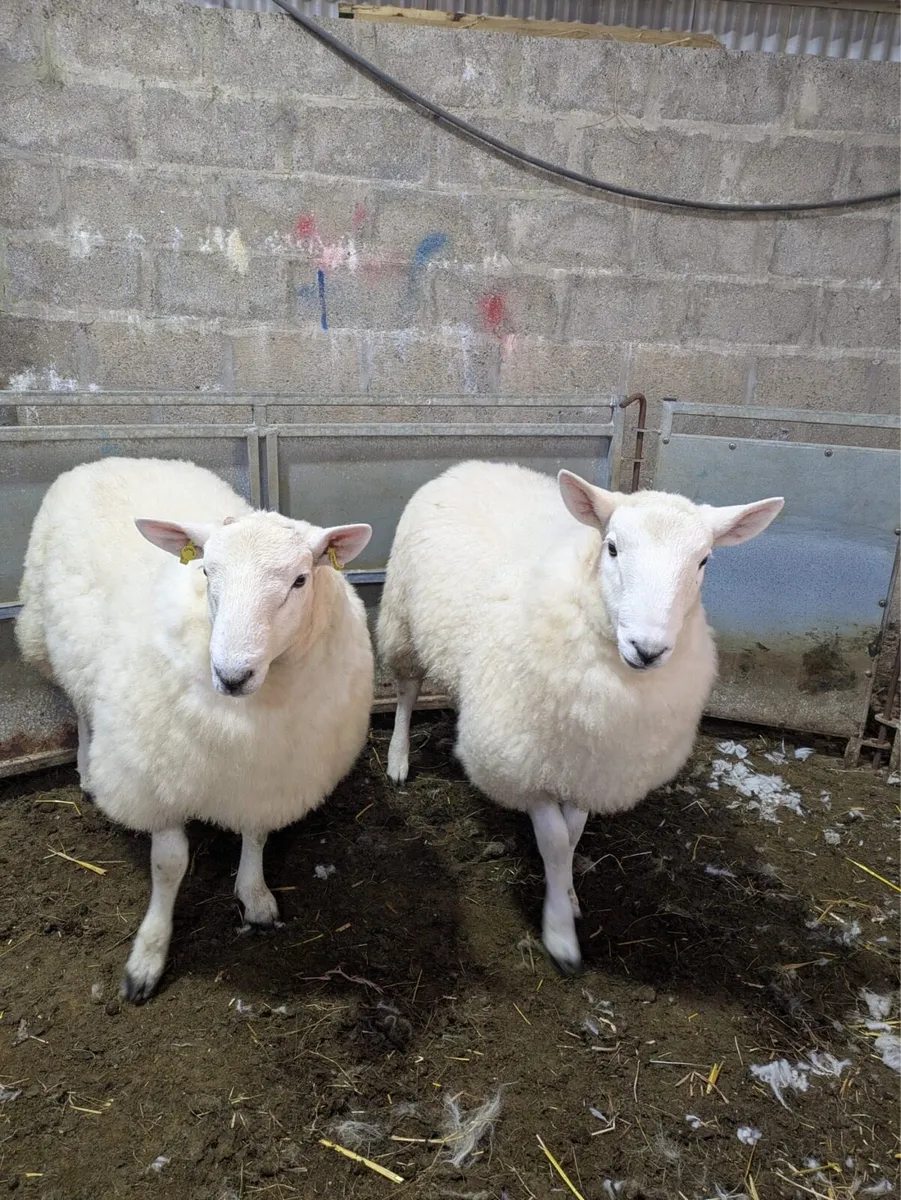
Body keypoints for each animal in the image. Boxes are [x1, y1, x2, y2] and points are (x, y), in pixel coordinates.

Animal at [16, 456, 374, 1003]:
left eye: (299, 580)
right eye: (206, 571)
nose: (231, 675)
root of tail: (116, 457)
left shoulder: (267, 772)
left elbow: (256, 833)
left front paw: (254, 896)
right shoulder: (159, 773)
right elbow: (169, 865)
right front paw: (149, 955)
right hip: (48, 635)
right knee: (80, 705)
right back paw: (86, 770)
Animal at [377, 460, 783, 973]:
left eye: (704, 561)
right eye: (612, 547)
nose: (648, 649)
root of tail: (474, 465)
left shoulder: (596, 763)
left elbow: (572, 837)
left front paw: (568, 893)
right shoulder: (526, 760)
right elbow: (553, 840)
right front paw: (560, 935)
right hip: (401, 620)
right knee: (407, 692)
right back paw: (398, 759)